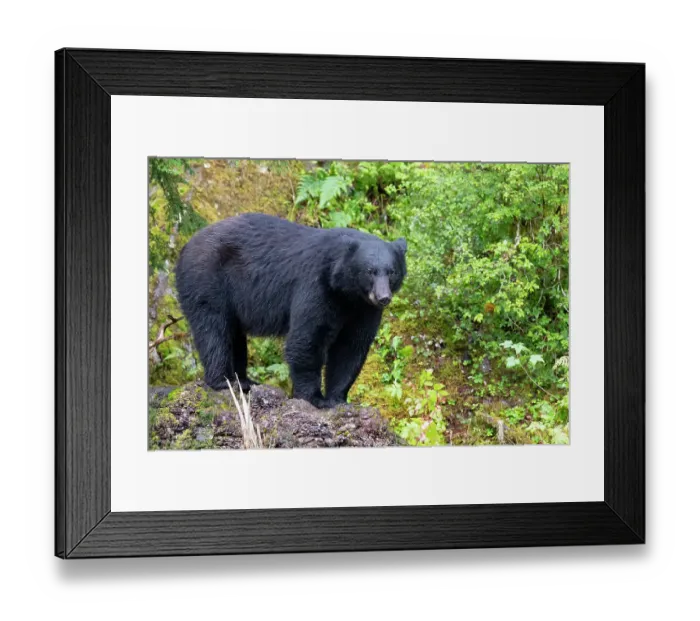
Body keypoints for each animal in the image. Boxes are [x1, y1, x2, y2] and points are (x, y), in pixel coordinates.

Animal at [175, 212, 407, 409]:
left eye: (392, 272)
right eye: (370, 271)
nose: (383, 297)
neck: (346, 292)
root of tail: (186, 246)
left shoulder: (363, 309)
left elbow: (350, 346)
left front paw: (338, 399)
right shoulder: (316, 285)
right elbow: (307, 337)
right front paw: (315, 398)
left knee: (234, 335)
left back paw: (244, 380)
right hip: (208, 280)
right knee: (214, 329)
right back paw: (225, 381)